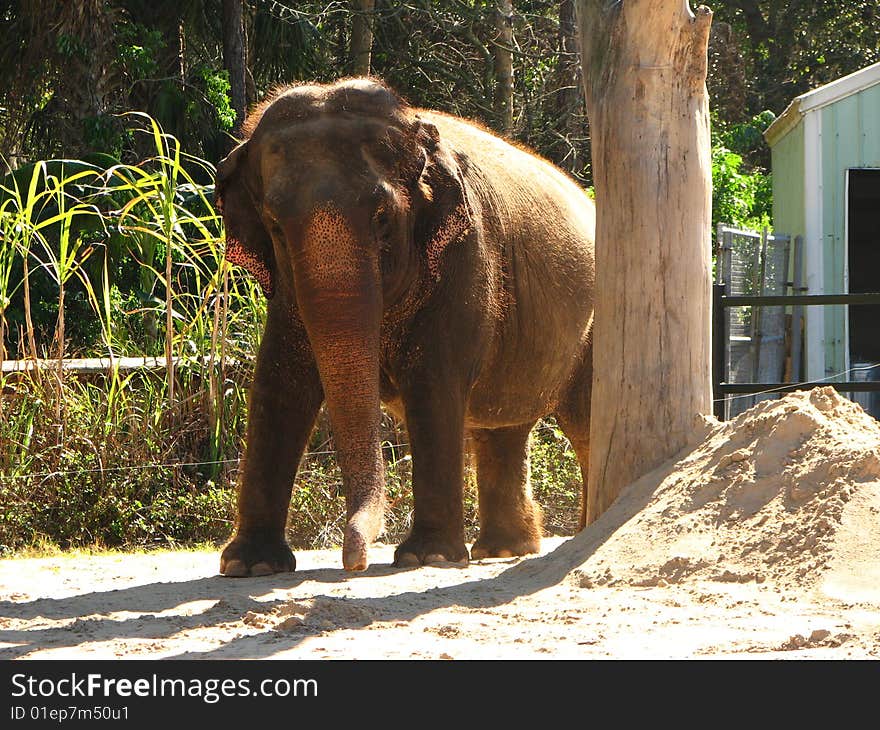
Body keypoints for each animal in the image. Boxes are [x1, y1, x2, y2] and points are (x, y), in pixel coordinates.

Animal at [216, 75, 596, 576]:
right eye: (275, 226)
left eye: (382, 219)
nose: (355, 562)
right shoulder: (286, 294)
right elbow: (278, 386)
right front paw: (251, 566)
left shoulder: (465, 257)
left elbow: (432, 384)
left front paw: (428, 557)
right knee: (500, 428)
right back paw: (503, 550)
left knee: (584, 422)